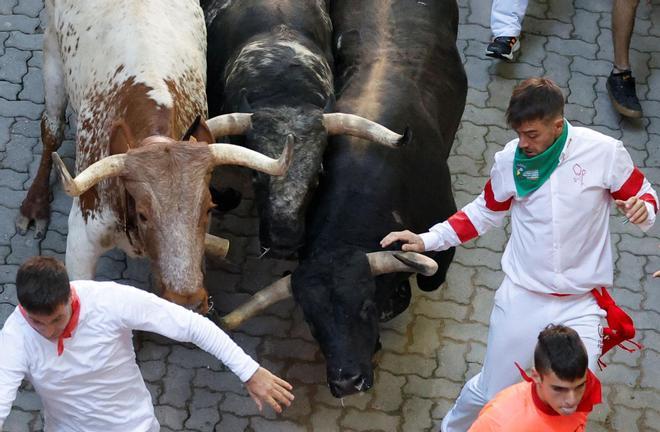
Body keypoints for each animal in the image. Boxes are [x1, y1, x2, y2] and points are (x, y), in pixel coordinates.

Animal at [14, 0, 288, 312]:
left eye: (208, 209)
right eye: (144, 214)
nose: (187, 302)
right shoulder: (81, 241)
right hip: (52, 50)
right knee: (51, 130)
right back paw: (34, 206)